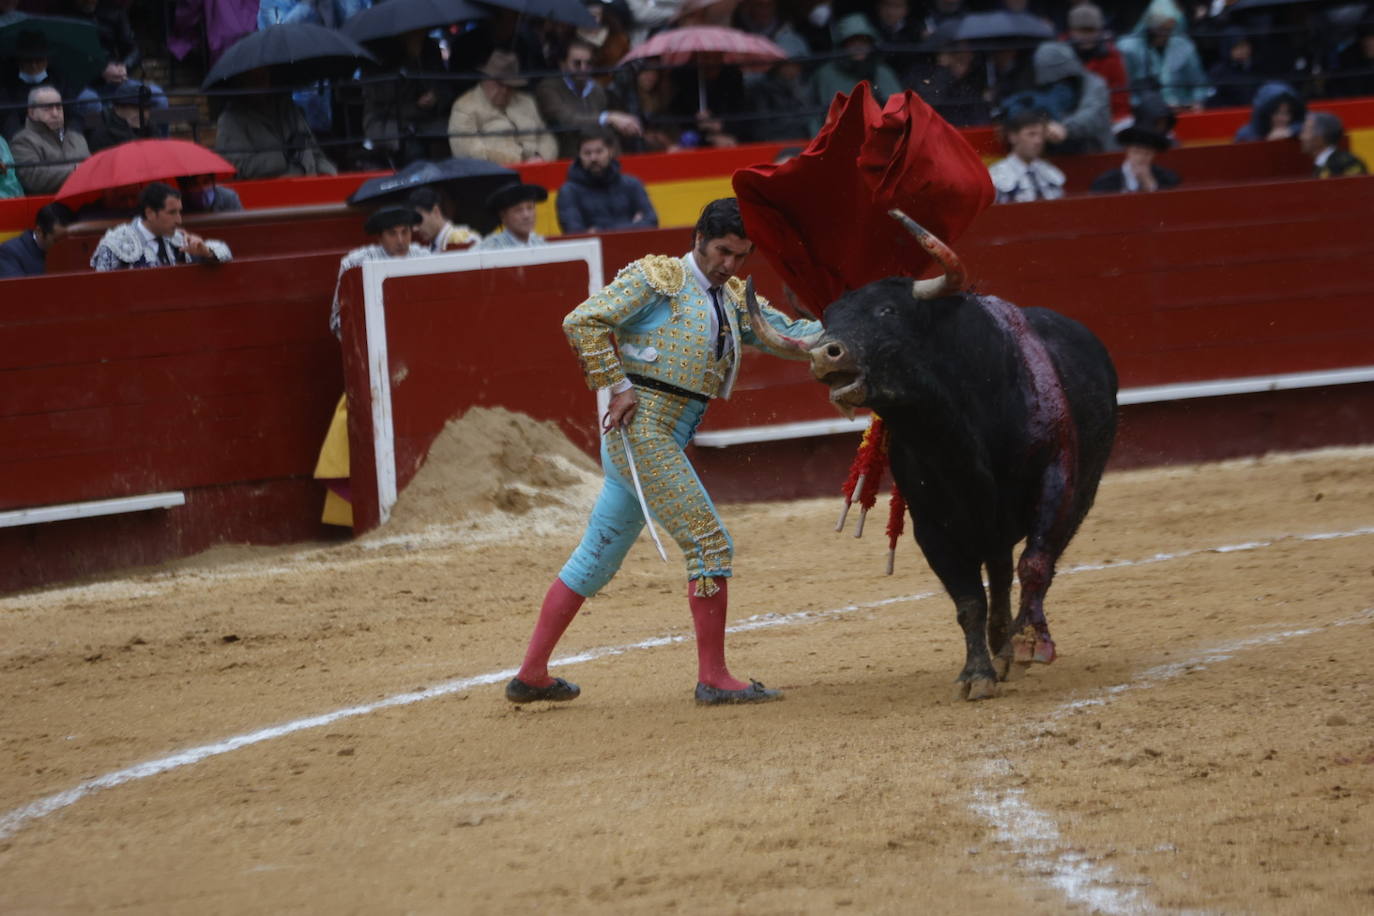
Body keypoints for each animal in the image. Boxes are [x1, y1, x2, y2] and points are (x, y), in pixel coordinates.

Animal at [752, 216, 1115, 703]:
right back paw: (1000, 646)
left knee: (1035, 563)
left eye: (887, 311)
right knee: (999, 572)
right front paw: (976, 674)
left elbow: (1035, 563)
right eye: (829, 319)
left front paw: (1027, 644)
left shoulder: (1056, 479)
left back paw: (1019, 642)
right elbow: (968, 600)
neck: (957, 432)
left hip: (1079, 493)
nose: (823, 353)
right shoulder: (933, 522)